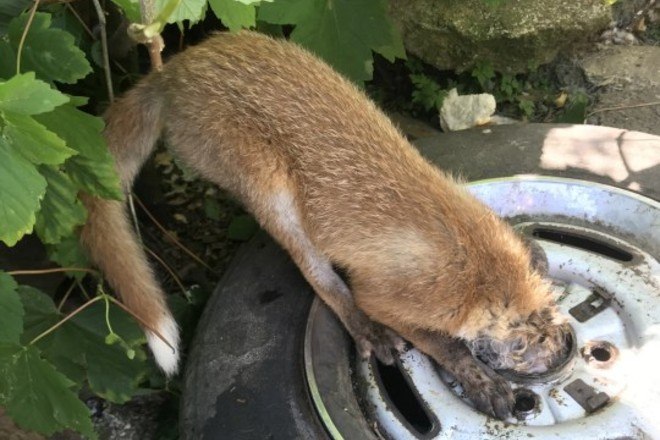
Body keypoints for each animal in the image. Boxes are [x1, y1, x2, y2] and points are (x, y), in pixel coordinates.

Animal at [81, 31, 568, 420]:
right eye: (525, 345)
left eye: (558, 312)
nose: (565, 349)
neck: (473, 257)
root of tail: (176, 69)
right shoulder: (387, 296)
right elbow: (441, 343)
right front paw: (480, 379)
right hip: (272, 189)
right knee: (317, 274)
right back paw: (365, 329)